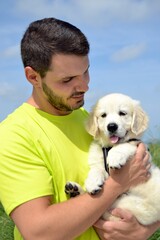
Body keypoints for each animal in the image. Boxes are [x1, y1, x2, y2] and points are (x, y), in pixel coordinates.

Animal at [65, 93, 160, 225]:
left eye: (122, 113)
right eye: (103, 115)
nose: (111, 126)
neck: (110, 146)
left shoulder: (139, 146)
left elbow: (124, 145)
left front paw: (115, 157)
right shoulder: (98, 160)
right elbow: (96, 169)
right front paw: (92, 181)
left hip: (133, 206)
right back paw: (75, 191)